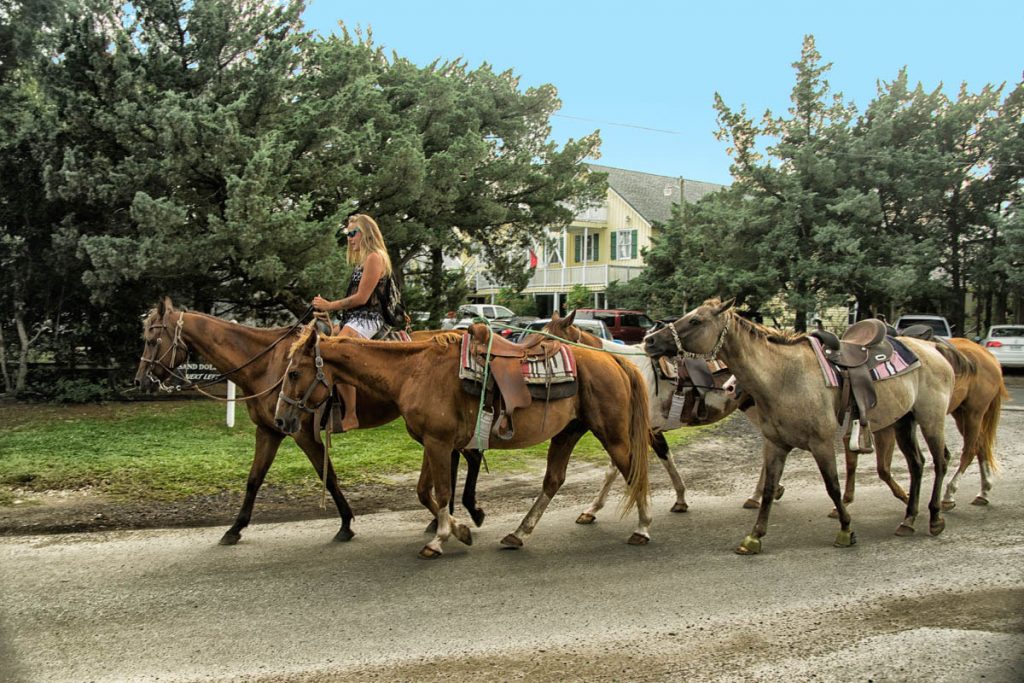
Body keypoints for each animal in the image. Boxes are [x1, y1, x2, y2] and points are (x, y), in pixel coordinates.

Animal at [133, 296, 483, 544]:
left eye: (152, 340)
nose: (140, 381)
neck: (267, 365)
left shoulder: (301, 432)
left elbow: (328, 477)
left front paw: (346, 524)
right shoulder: (269, 431)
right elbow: (253, 479)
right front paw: (234, 528)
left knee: (470, 455)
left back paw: (464, 511)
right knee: (462, 457)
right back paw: (449, 515)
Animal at [276, 323, 651, 557]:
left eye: (293, 373)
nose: (281, 419)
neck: (414, 371)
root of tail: (613, 358)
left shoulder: (439, 444)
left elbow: (441, 492)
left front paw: (440, 539)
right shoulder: (432, 443)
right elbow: (424, 492)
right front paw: (461, 530)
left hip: (612, 435)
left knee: (632, 472)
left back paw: (643, 528)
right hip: (568, 432)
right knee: (553, 481)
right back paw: (518, 533)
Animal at [643, 299, 954, 557]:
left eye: (695, 320)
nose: (649, 340)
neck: (785, 376)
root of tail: (933, 349)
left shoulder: (821, 443)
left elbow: (832, 486)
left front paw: (846, 529)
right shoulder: (776, 444)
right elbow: (770, 487)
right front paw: (754, 537)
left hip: (931, 418)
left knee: (939, 461)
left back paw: (935, 517)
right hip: (904, 420)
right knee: (917, 464)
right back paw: (908, 519)